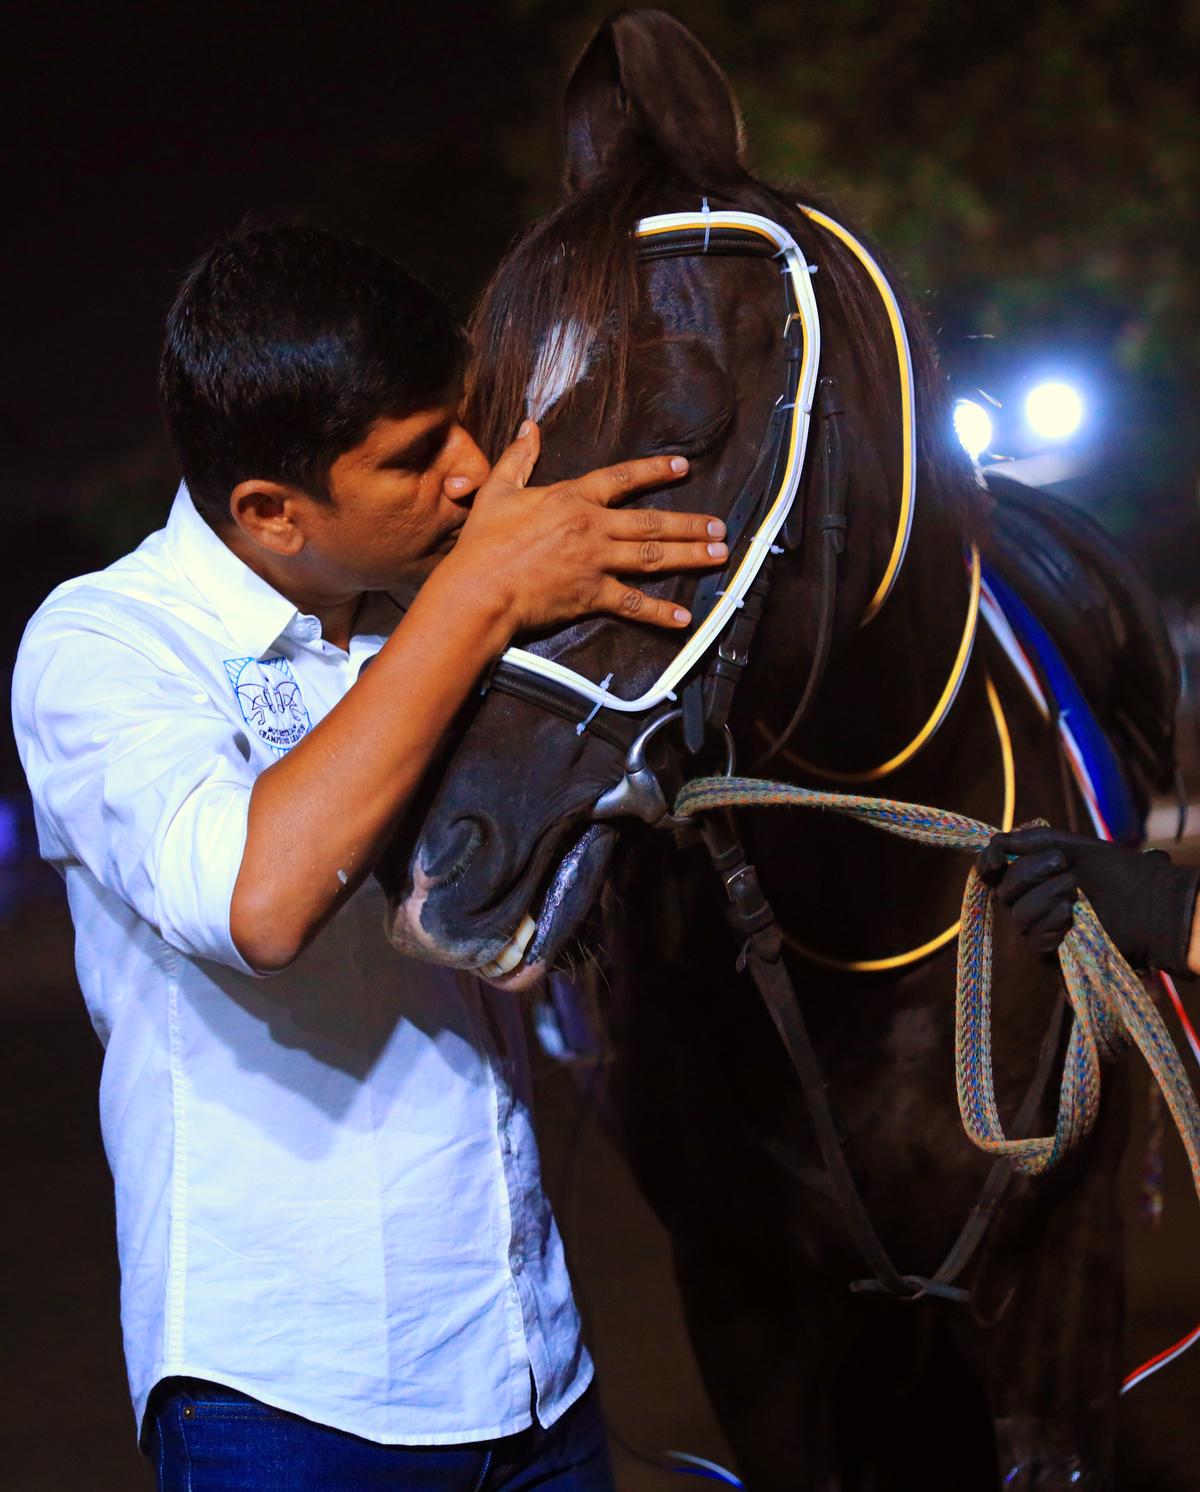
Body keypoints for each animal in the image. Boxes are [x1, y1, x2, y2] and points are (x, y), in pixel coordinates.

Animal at [377, 13, 1178, 1488]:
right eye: (483, 459)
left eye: (679, 435)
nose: (452, 862)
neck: (877, 912)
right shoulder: (748, 1305)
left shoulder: (1062, 1288)